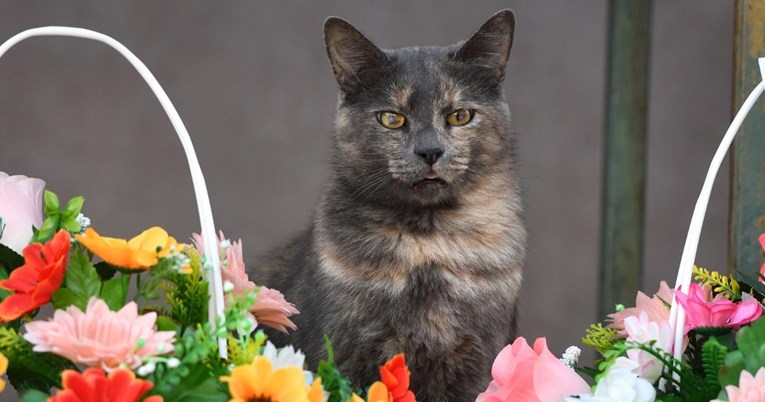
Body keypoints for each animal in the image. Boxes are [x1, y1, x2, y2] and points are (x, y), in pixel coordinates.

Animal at [251, 10, 524, 402]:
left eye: (460, 116)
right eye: (391, 119)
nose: (429, 151)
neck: (427, 249)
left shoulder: (481, 356)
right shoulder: (345, 354)